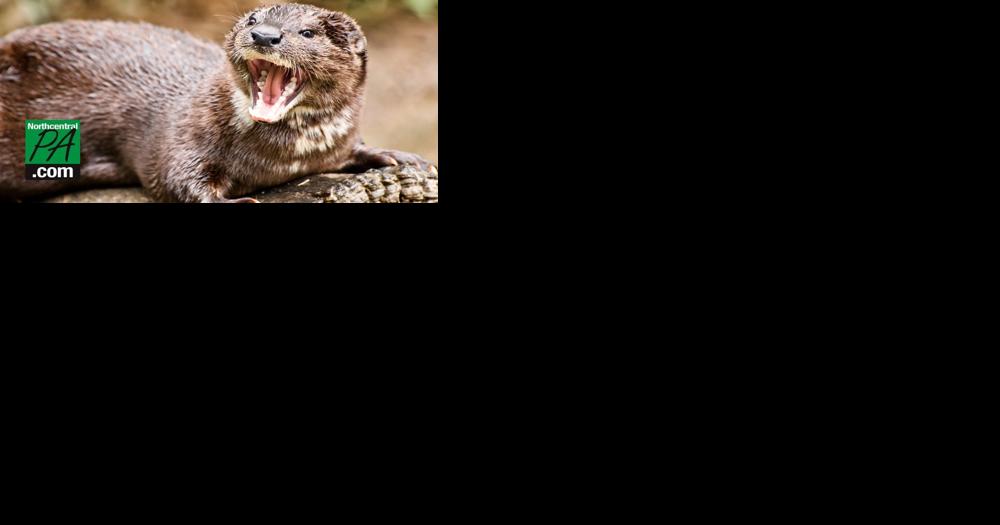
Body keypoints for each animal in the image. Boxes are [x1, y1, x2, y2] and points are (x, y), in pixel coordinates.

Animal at [0, 3, 433, 203]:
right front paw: (240, 200)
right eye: (252, 19)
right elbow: (175, 179)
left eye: (308, 33)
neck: (283, 158)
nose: (265, 35)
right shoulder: (184, 134)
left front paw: (398, 156)